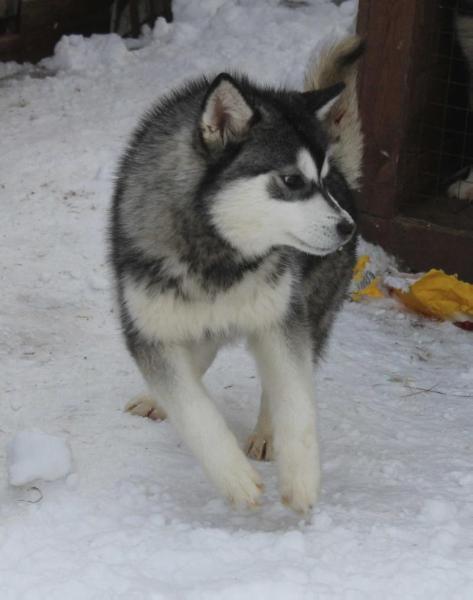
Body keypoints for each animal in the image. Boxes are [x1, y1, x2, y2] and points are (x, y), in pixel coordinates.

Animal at [109, 34, 362, 510]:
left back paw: (265, 433)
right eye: (292, 181)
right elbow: (192, 408)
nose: (347, 226)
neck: (221, 254)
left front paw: (301, 479)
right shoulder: (150, 329)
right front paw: (234, 477)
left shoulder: (282, 319)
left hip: (312, 305)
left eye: (322, 180)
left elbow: (295, 400)